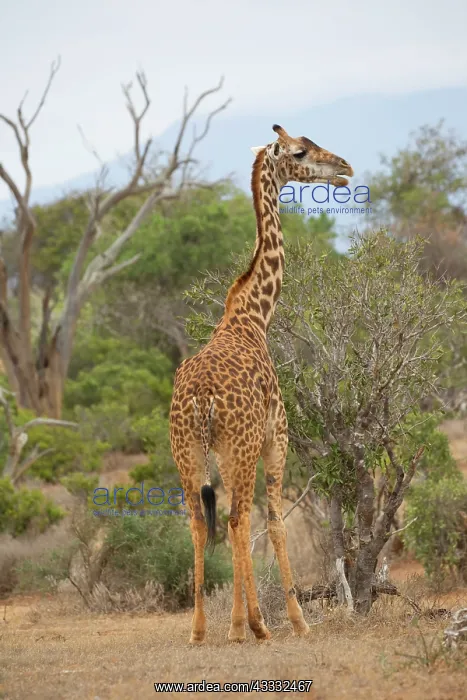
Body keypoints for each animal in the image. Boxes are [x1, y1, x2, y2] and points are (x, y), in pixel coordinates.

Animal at [169, 124, 353, 644]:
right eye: (300, 152)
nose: (345, 169)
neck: (254, 316)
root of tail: (201, 400)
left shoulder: (231, 451)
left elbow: (237, 525)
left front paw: (248, 622)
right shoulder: (277, 436)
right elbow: (273, 524)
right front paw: (294, 620)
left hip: (187, 452)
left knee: (200, 522)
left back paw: (200, 629)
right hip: (242, 445)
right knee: (236, 520)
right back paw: (248, 625)